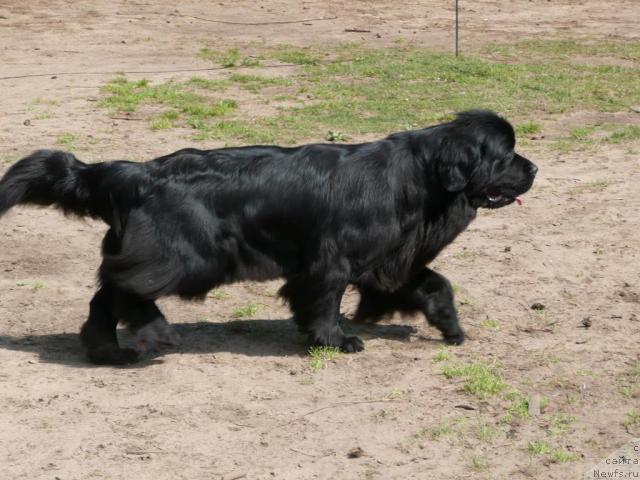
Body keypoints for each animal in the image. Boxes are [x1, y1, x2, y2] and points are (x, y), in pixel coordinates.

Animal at [0, 109, 536, 364]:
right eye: (506, 154)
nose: (534, 168)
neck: (419, 177)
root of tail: (136, 173)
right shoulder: (331, 261)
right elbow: (323, 301)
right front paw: (336, 340)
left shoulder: (387, 259)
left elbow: (433, 284)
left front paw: (450, 327)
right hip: (190, 256)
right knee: (126, 287)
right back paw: (155, 332)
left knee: (105, 296)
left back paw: (107, 352)